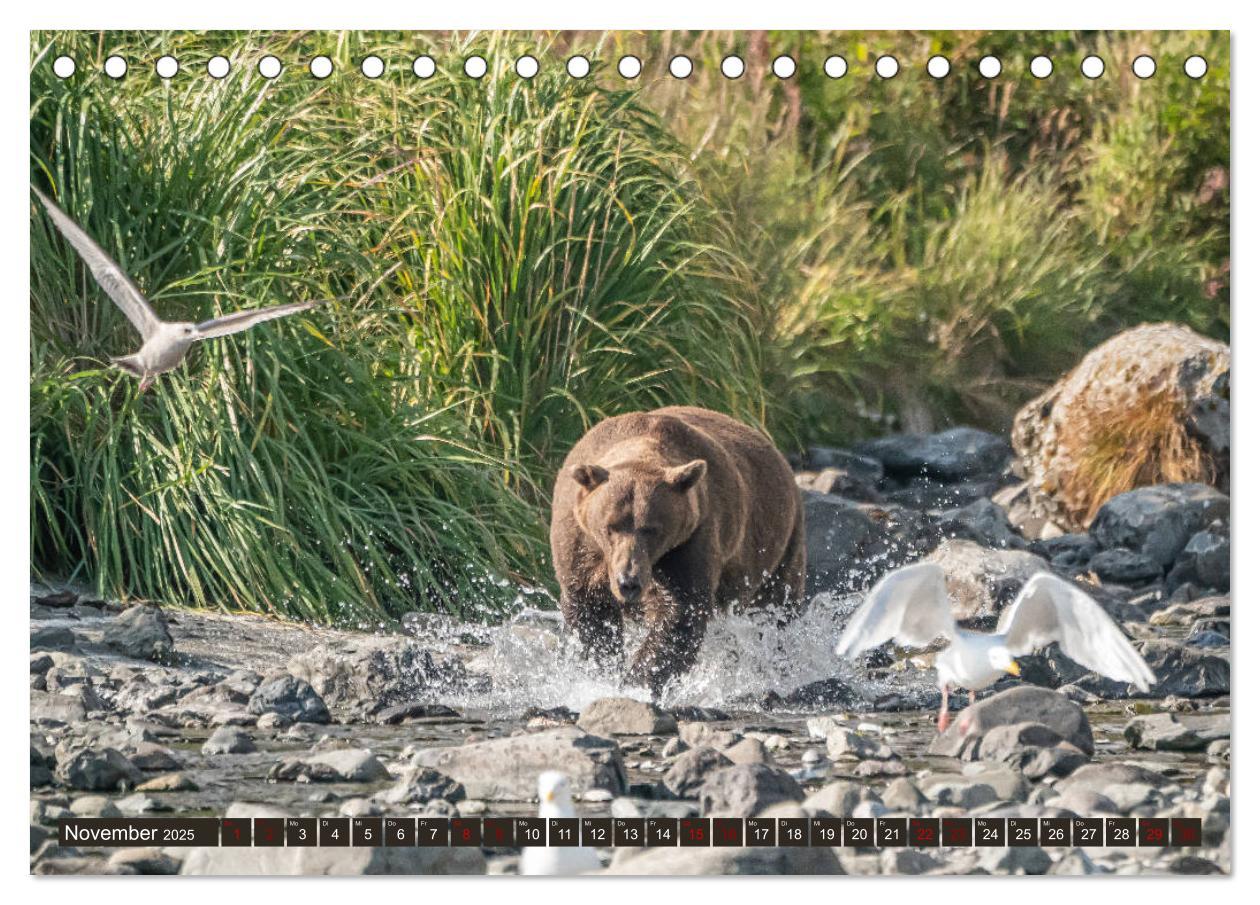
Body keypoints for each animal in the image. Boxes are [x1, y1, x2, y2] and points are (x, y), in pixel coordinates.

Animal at [551, 408, 806, 700]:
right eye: (610, 526)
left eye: (652, 530)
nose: (629, 582)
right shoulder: (581, 543)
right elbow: (588, 609)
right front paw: (600, 671)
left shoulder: (689, 541)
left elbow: (680, 610)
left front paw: (637, 682)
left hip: (781, 545)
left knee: (776, 609)